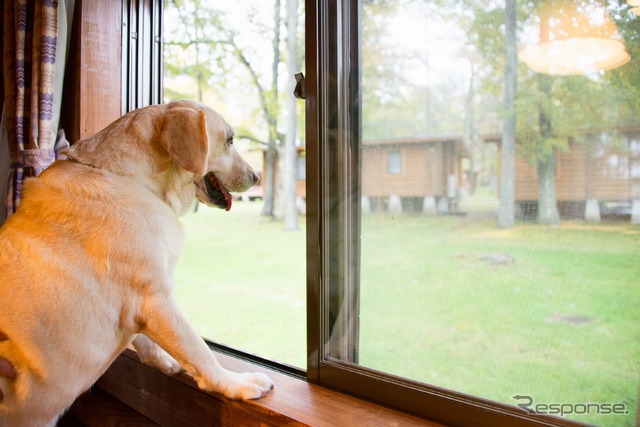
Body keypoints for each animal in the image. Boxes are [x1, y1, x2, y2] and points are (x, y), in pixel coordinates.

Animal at [0, 98, 272, 426]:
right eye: (230, 140)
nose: (257, 177)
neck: (129, 178)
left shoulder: (141, 306)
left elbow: (147, 341)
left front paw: (165, 362)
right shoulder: (155, 300)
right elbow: (199, 350)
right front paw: (234, 383)